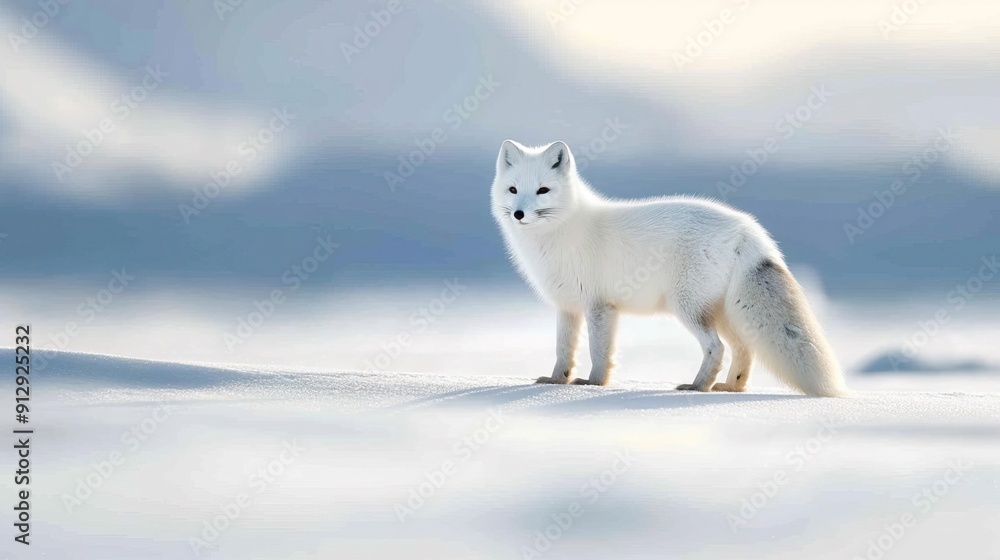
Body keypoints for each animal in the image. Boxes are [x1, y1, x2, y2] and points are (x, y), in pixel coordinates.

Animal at [490, 139, 847, 397]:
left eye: (543, 190)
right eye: (513, 190)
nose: (519, 213)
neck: (560, 233)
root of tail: (747, 229)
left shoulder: (599, 306)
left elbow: (598, 352)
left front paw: (593, 384)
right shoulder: (568, 306)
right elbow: (564, 351)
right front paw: (556, 381)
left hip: (689, 308)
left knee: (715, 348)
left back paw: (697, 387)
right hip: (725, 313)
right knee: (744, 351)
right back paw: (730, 387)